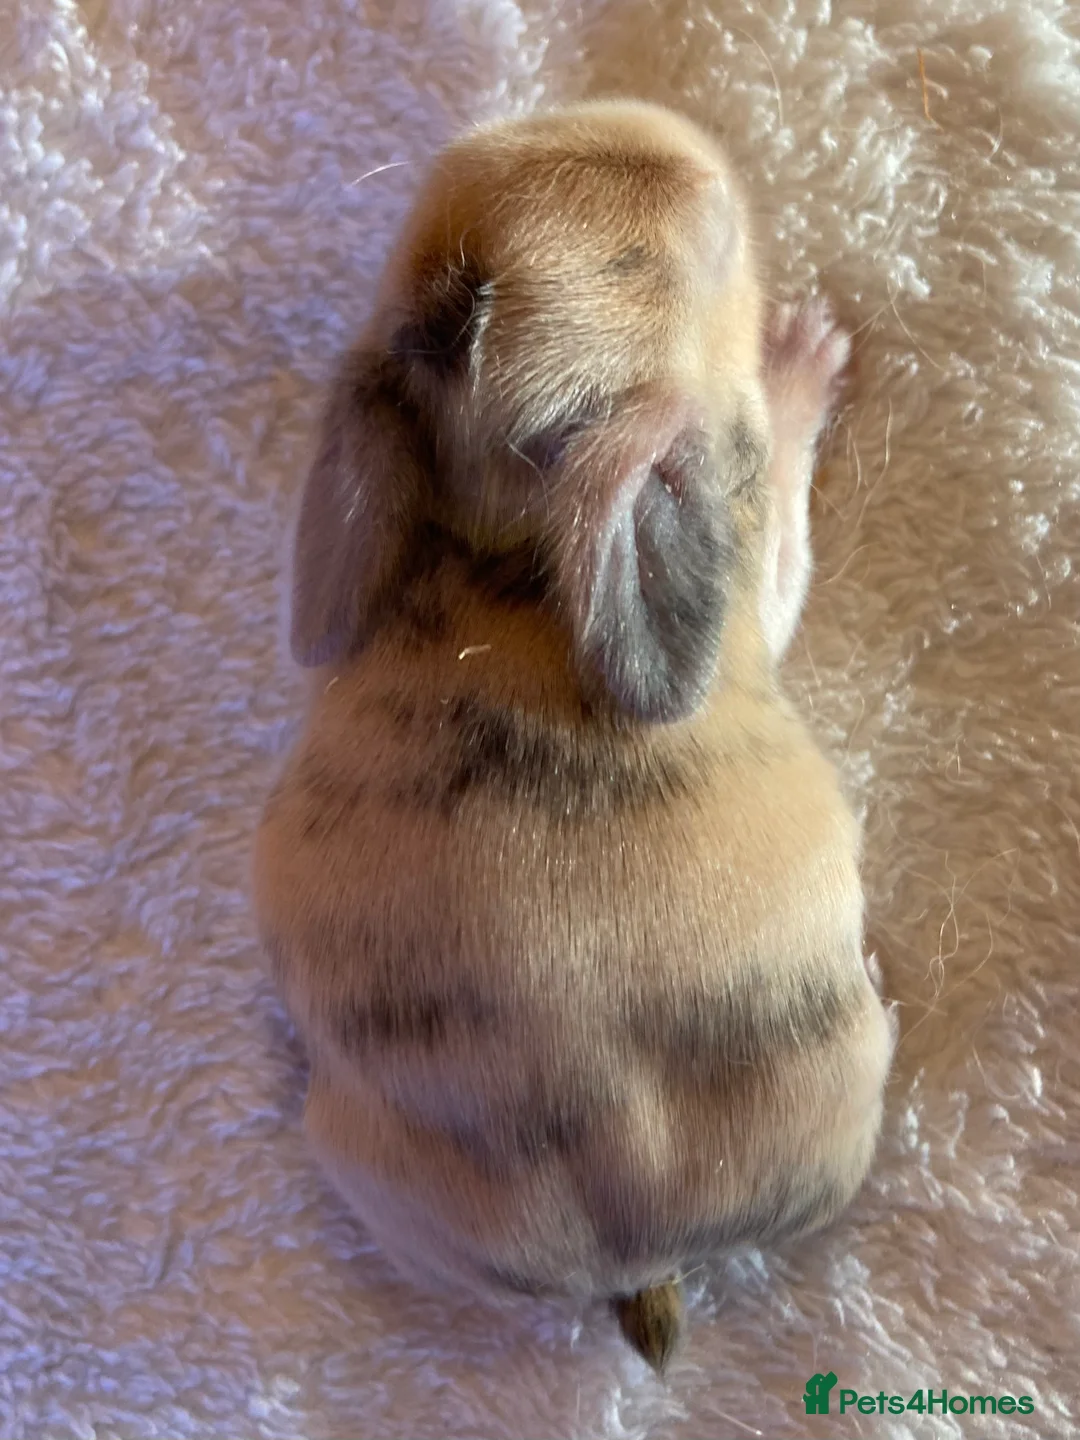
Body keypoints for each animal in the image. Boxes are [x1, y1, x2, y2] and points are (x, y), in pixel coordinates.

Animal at [252, 98, 896, 1374]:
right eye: (705, 244)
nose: (684, 135)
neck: (500, 541)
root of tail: (637, 1256)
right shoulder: (747, 547)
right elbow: (780, 529)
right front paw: (801, 357)